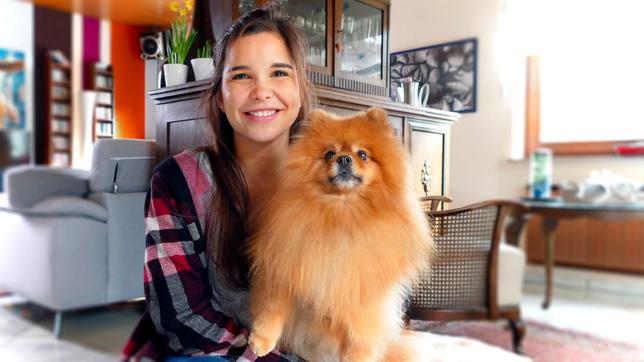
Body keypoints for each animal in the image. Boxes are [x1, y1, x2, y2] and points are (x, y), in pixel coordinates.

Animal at [247, 108, 432, 362]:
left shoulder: (362, 294)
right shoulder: (286, 263)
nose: (344, 158)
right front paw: (261, 340)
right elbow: (273, 306)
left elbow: (360, 336)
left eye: (362, 154)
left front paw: (357, 357)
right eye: (329, 153)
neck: (341, 211)